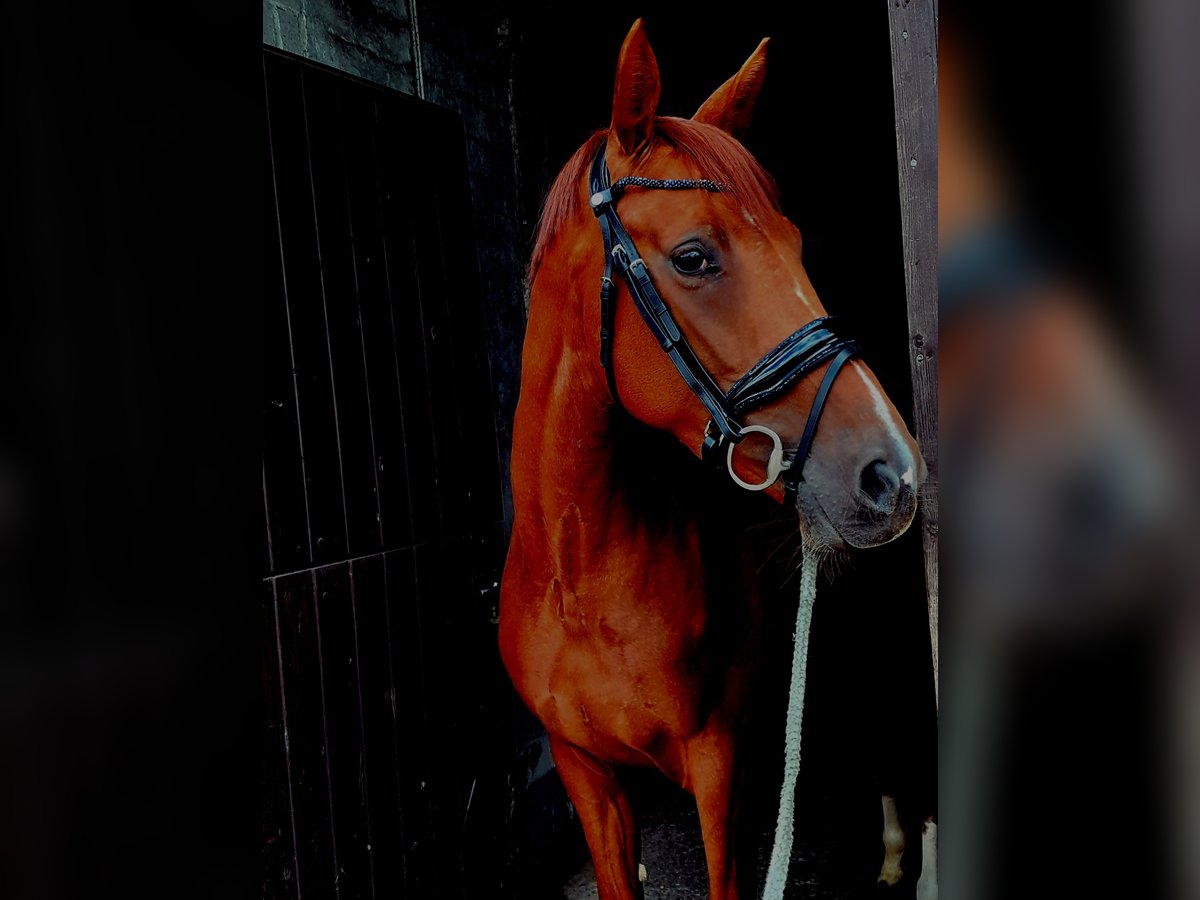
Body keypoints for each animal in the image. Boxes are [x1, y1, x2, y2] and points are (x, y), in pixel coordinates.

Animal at [496, 21, 916, 900]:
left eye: (796, 244)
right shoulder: (589, 778)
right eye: (693, 256)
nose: (892, 474)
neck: (582, 576)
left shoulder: (720, 771)